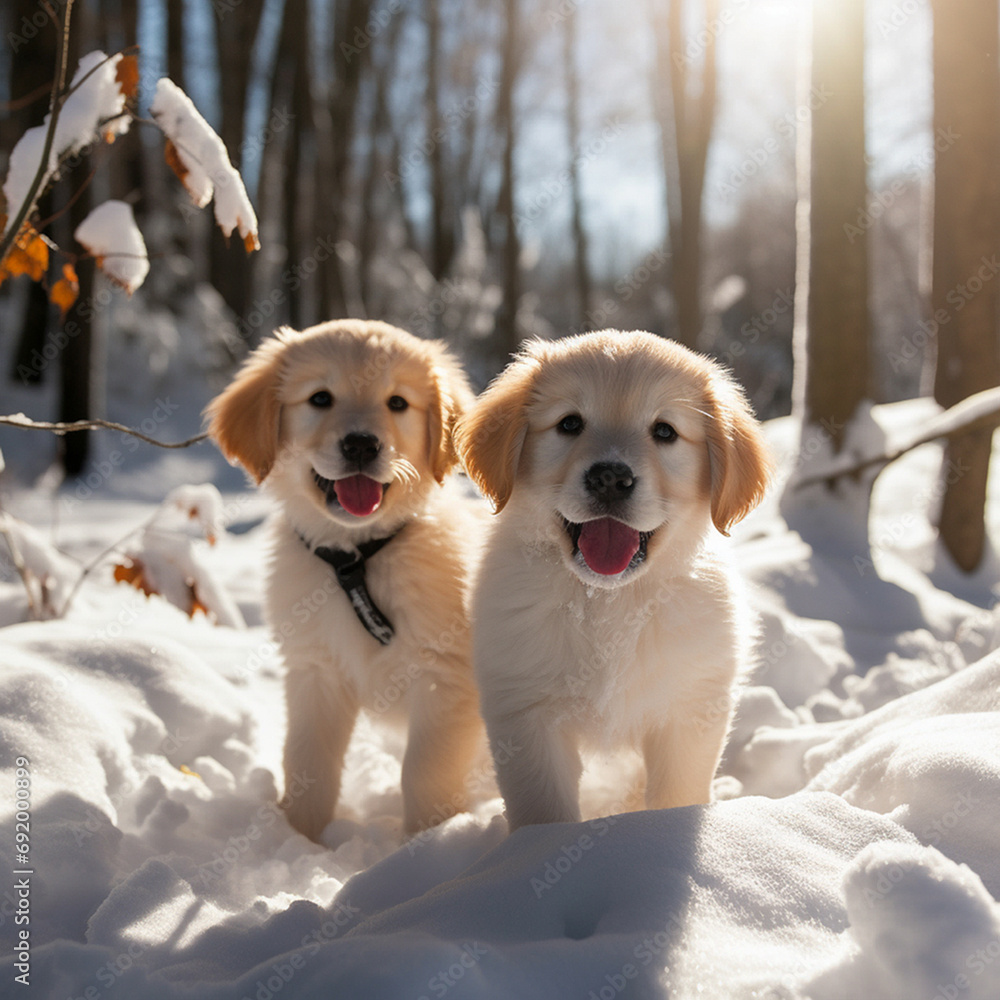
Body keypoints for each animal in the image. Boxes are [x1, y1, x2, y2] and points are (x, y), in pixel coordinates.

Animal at [205, 322, 482, 844]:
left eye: (397, 403)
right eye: (320, 398)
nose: (360, 445)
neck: (357, 559)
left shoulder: (444, 677)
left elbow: (424, 774)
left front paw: (425, 845)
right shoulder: (315, 670)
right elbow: (307, 761)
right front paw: (300, 837)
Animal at [458, 328, 768, 828]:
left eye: (664, 431)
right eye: (569, 424)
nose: (609, 477)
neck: (608, 601)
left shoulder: (690, 708)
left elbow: (676, 793)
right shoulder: (525, 713)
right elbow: (544, 808)